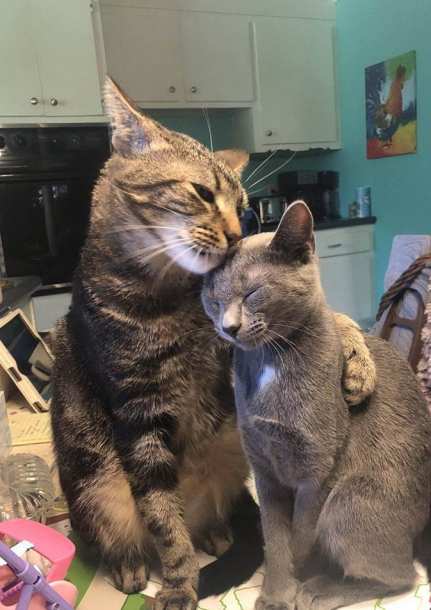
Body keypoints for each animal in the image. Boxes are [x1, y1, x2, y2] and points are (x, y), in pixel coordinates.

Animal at [51, 78, 377, 610]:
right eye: (202, 193)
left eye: (244, 205)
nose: (237, 234)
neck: (170, 297)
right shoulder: (137, 414)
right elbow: (164, 523)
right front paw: (180, 584)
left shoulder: (236, 340)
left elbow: (330, 316)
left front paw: (357, 356)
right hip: (95, 483)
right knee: (119, 532)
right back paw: (129, 564)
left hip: (228, 450)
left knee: (213, 512)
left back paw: (218, 534)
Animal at [202, 201, 431, 610]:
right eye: (213, 302)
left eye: (253, 293)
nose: (228, 327)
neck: (271, 361)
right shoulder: (264, 470)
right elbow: (275, 537)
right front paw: (277, 592)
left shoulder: (319, 468)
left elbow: (300, 533)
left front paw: (299, 575)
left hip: (348, 503)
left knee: (402, 576)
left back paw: (321, 588)